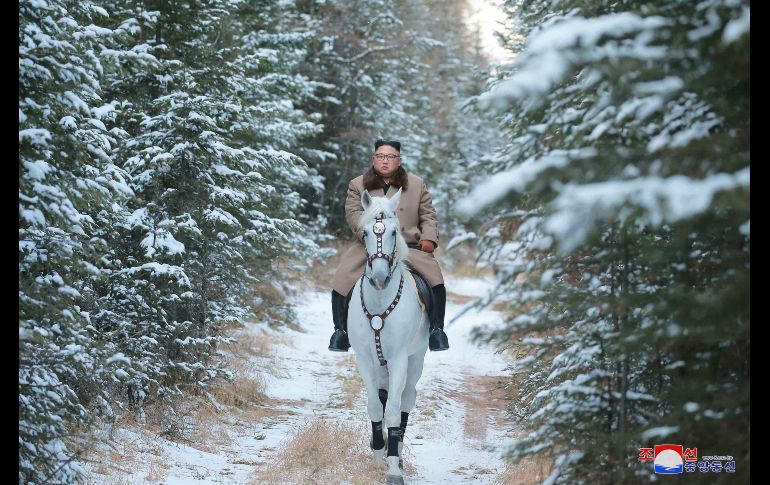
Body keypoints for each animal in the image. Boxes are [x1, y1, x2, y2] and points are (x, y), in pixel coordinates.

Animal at [347, 188, 430, 485]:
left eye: (394, 232)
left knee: (406, 400)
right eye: (365, 233)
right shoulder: (364, 359)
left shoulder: (398, 359)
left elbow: (393, 411)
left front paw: (393, 468)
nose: (380, 276)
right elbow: (375, 406)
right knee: (382, 397)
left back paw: (399, 452)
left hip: (415, 360)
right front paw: (378, 455)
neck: (380, 301)